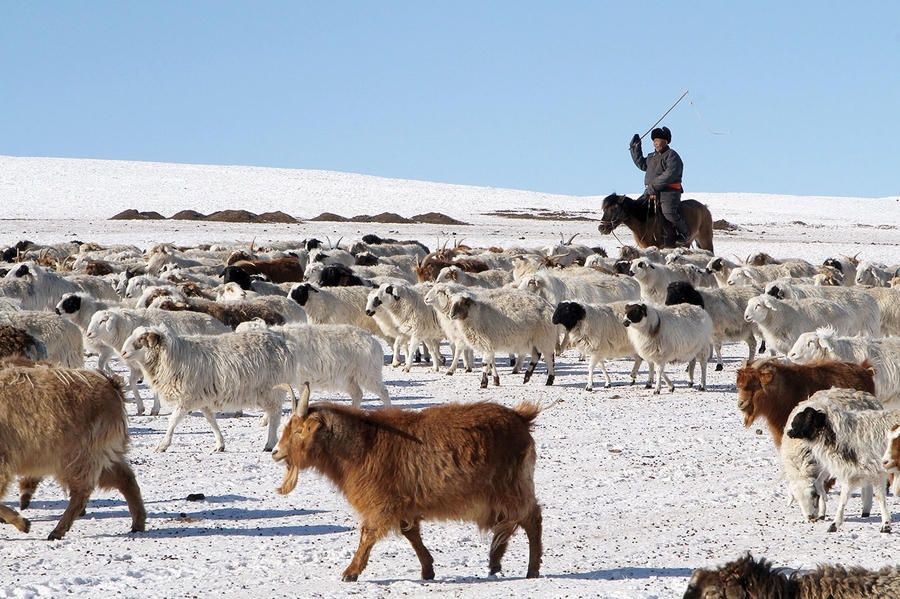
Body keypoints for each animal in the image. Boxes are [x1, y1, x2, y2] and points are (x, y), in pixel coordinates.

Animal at [0, 363, 146, 540]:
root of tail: (111, 384)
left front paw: (23, 523)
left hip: (80, 455)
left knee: (82, 493)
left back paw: (57, 530)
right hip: (102, 454)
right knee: (125, 479)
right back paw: (138, 523)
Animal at [272, 383, 542, 581]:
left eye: (298, 431)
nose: (275, 451)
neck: (363, 444)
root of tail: (521, 418)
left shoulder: (381, 501)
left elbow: (368, 533)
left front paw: (351, 572)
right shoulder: (404, 502)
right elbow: (410, 533)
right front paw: (428, 569)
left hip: (512, 486)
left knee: (531, 517)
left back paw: (531, 568)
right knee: (508, 522)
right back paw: (495, 561)